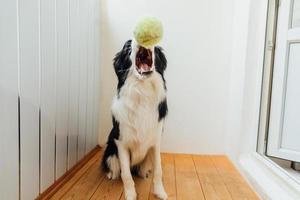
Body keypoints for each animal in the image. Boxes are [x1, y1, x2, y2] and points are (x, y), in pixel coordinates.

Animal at [102, 39, 168, 200]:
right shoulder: (120, 142)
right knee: (115, 167)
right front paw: (131, 195)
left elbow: (159, 170)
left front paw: (160, 192)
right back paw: (111, 174)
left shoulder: (155, 140)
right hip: (110, 150)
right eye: (127, 46)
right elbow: (126, 174)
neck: (142, 91)